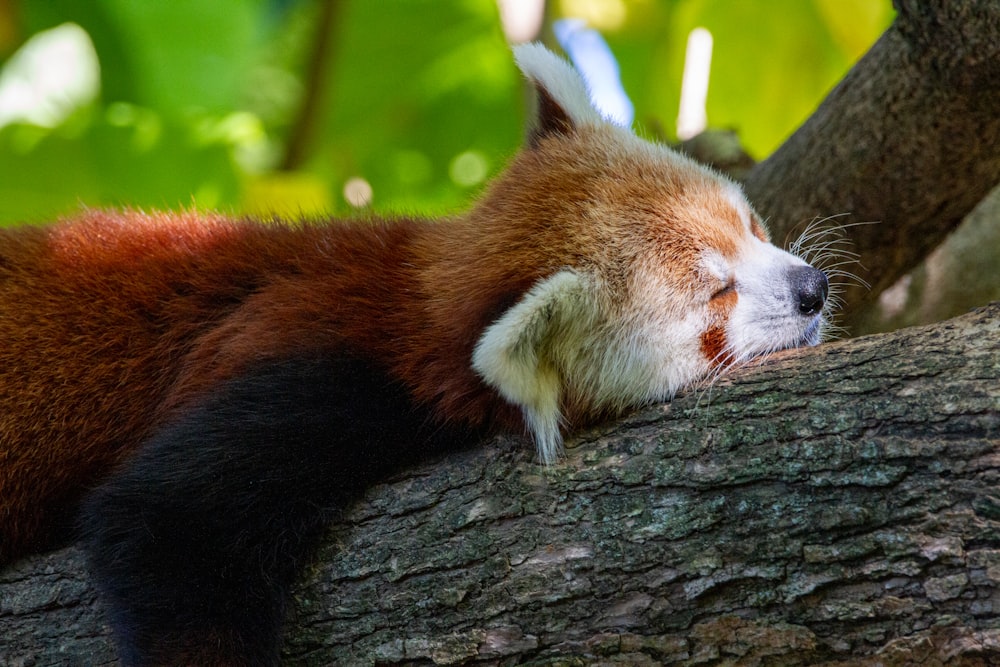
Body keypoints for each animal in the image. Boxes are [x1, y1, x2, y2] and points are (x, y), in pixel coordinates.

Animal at [0, 44, 828, 664]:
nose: (813, 289)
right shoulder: (324, 375)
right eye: (716, 295)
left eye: (752, 226)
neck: (420, 291)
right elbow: (159, 522)